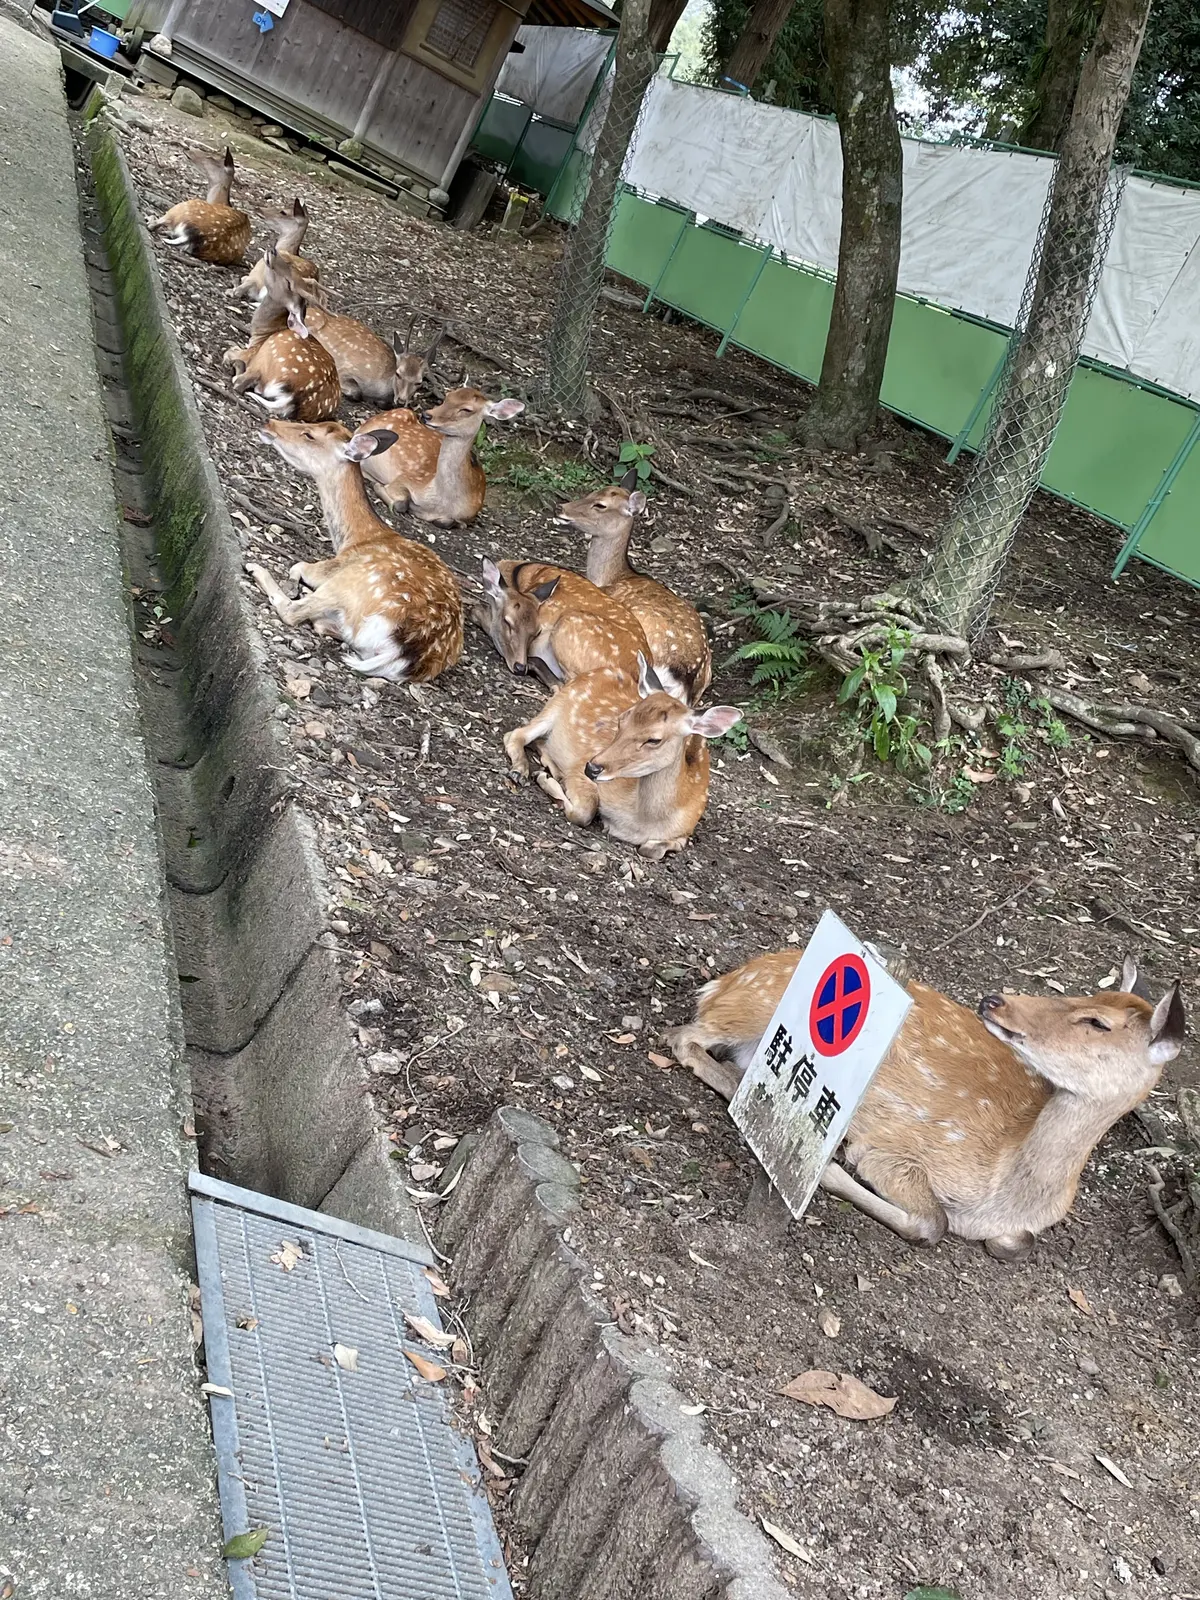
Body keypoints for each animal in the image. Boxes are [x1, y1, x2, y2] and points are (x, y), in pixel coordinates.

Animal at [223, 250, 341, 422]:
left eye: (289, 283)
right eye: (293, 270)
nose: (273, 252)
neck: (260, 335)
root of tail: (295, 398)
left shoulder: (252, 352)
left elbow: (229, 352)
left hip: (270, 353)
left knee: (240, 382)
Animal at [245, 420, 463, 682]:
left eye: (309, 434)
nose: (270, 423)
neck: (354, 539)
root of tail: (408, 653)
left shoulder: (331, 567)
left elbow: (298, 566)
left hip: (352, 580)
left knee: (293, 611)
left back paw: (256, 569)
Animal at [355, 388, 524, 526]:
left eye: (467, 409)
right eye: (447, 396)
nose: (426, 415)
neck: (439, 503)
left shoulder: (468, 516)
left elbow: (449, 522)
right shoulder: (407, 478)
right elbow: (400, 503)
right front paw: (377, 486)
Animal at [504, 653, 741, 859]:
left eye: (654, 739)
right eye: (622, 719)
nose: (592, 767)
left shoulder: (686, 829)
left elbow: (654, 849)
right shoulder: (579, 770)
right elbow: (584, 812)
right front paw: (546, 780)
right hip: (555, 705)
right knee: (515, 734)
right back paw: (522, 771)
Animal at [667, 950, 1186, 1261]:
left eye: (1097, 1021)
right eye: (1087, 994)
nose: (994, 1000)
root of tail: (721, 983)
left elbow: (1017, 1243)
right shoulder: (898, 1152)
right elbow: (934, 1222)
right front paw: (833, 1168)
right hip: (753, 1011)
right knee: (683, 1038)